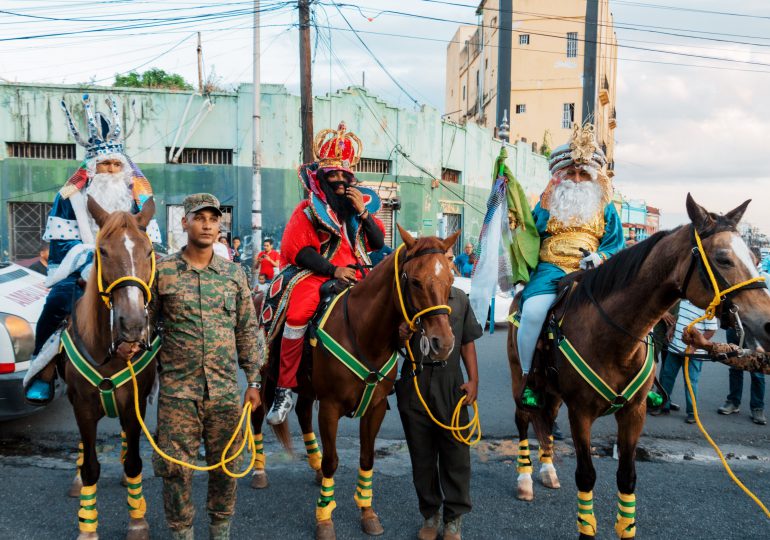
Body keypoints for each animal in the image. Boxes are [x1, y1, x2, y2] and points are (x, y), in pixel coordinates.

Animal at [63, 198, 159, 540]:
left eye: (148, 251)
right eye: (102, 251)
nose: (132, 325)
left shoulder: (135, 403)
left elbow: (133, 462)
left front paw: (138, 520)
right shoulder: (82, 406)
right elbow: (91, 466)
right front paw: (87, 527)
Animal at [504, 195, 768, 540]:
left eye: (753, 256)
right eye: (723, 258)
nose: (766, 320)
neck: (613, 336)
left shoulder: (634, 412)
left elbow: (627, 477)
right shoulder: (581, 413)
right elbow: (586, 476)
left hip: (553, 391)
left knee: (545, 422)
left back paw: (548, 471)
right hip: (520, 380)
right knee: (524, 420)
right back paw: (524, 479)